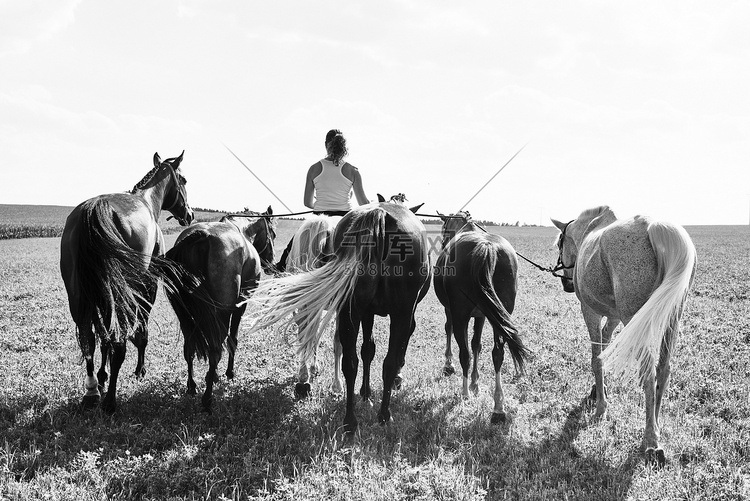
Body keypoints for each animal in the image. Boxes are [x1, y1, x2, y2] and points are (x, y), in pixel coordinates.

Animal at [60, 150, 194, 412]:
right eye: (184, 181)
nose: (190, 215)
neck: (147, 202)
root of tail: (93, 209)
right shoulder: (148, 284)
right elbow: (141, 331)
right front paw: (139, 370)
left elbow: (102, 338)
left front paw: (102, 376)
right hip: (119, 293)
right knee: (118, 341)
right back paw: (110, 401)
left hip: (80, 295)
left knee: (90, 339)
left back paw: (92, 390)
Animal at [166, 207, 278, 410]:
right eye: (272, 233)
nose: (272, 263)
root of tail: (201, 236)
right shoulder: (240, 305)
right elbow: (232, 339)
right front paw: (228, 373)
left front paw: (214, 375)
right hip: (222, 312)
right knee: (215, 350)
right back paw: (208, 399)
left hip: (185, 314)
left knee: (190, 347)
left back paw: (192, 386)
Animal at [250, 199, 432, 430]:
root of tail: (380, 214)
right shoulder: (397, 313)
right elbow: (377, 349)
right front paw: (370, 392)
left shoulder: (363, 311)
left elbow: (365, 349)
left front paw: (363, 393)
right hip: (394, 311)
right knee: (385, 361)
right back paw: (382, 414)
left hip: (344, 307)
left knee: (340, 355)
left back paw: (339, 411)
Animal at [432, 210, 532, 422]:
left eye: (444, 228)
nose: (443, 243)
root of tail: (486, 247)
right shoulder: (483, 315)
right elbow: (477, 344)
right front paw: (475, 383)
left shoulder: (451, 310)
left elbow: (451, 331)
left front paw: (449, 365)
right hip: (500, 315)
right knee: (497, 353)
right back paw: (498, 407)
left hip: (461, 314)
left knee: (465, 353)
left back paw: (464, 393)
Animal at [552, 205, 700, 466]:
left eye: (560, 243)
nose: (567, 284)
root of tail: (654, 226)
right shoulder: (614, 317)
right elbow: (604, 345)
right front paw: (598, 390)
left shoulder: (590, 311)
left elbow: (597, 357)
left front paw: (601, 407)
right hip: (672, 317)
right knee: (663, 369)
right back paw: (656, 427)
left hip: (637, 319)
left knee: (648, 373)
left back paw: (650, 441)